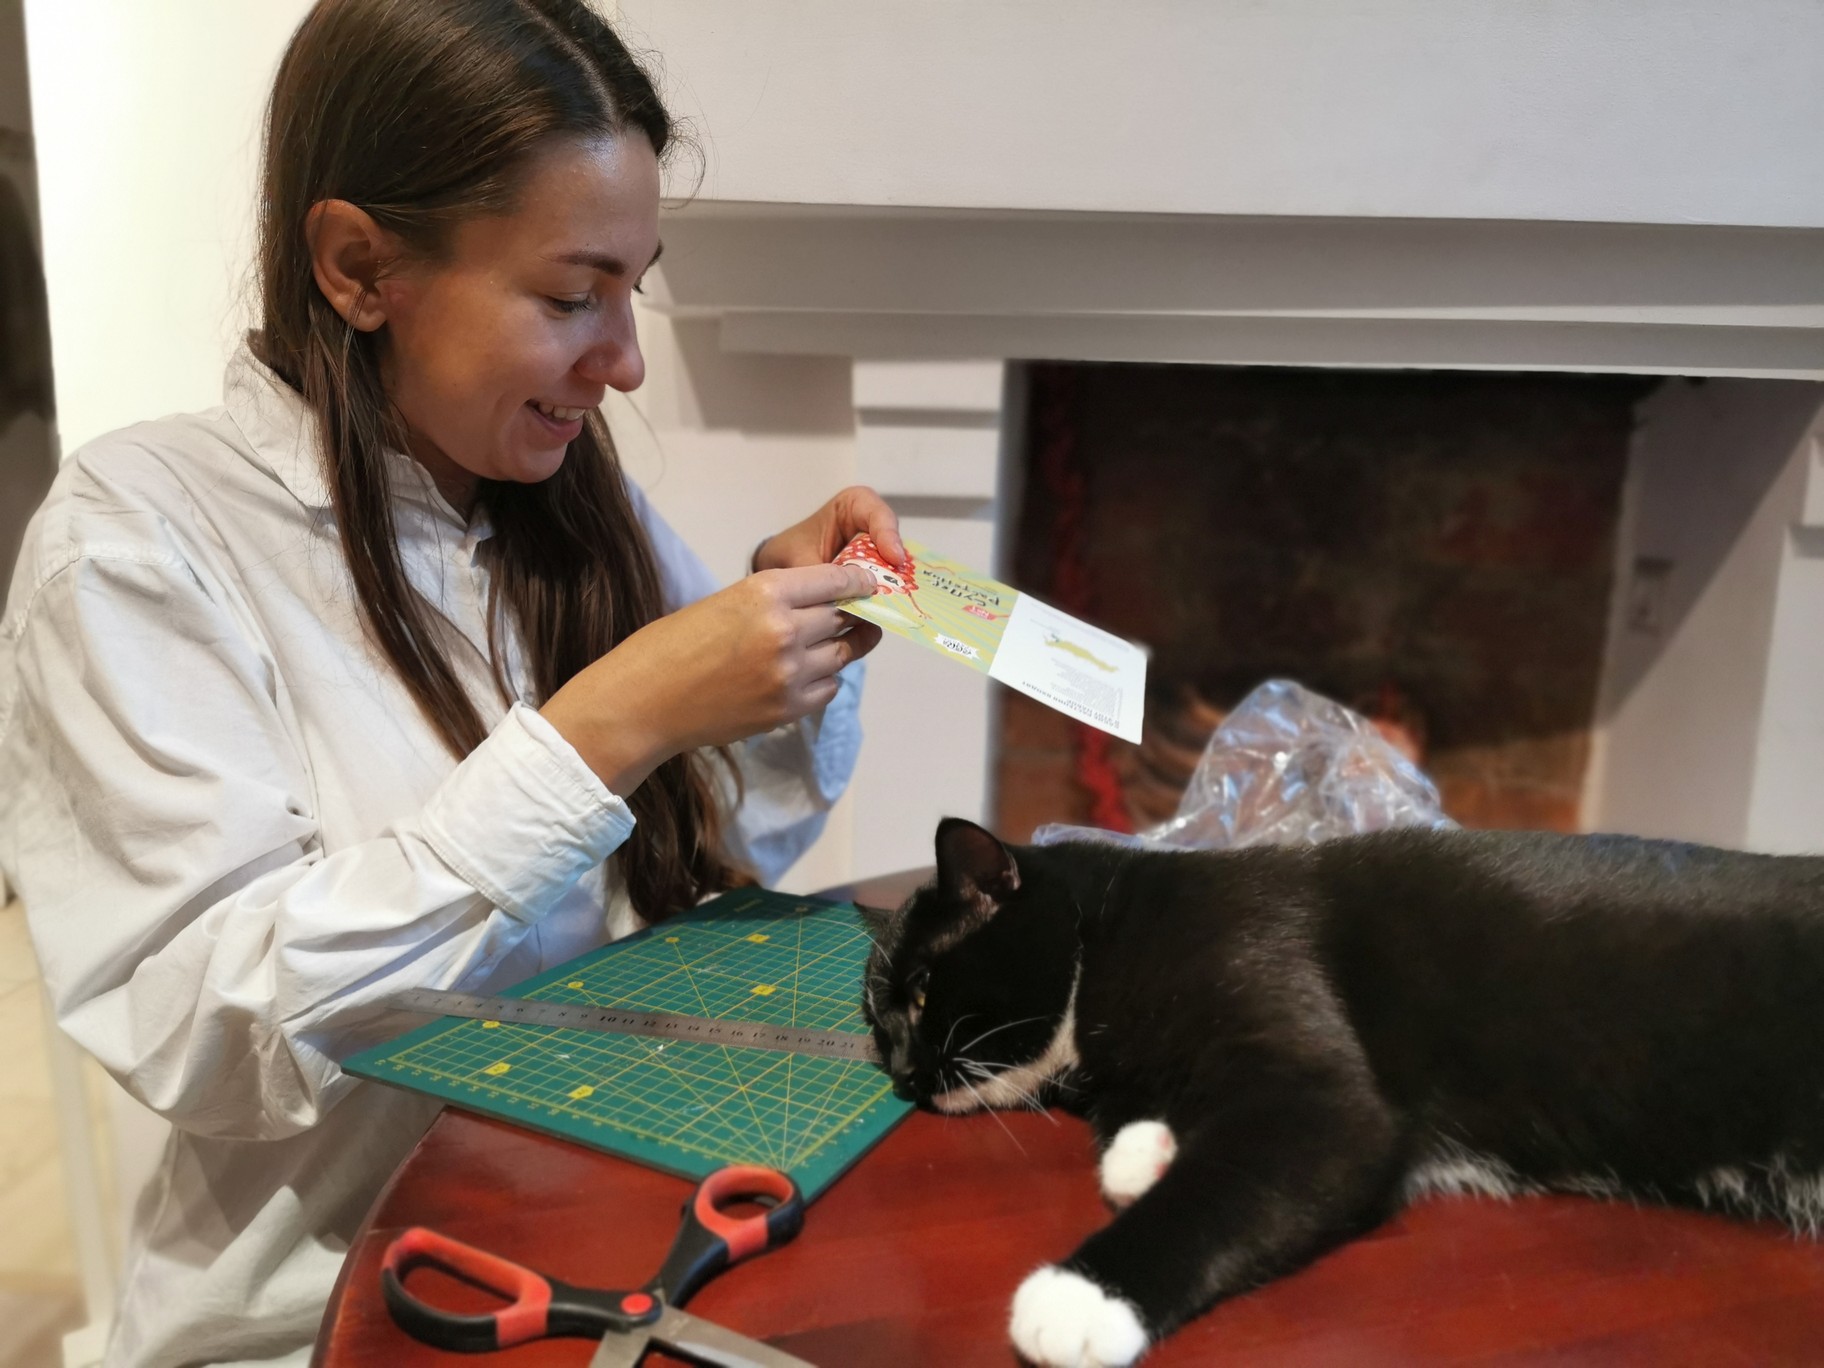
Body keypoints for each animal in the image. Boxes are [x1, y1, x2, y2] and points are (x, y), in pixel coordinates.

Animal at [860, 817, 1824, 1367]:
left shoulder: (1312, 1076)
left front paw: (1077, 1297)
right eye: (877, 1024)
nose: (902, 1073)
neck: (1110, 946)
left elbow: (1230, 1183)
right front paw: (1148, 1151)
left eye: (922, 995)